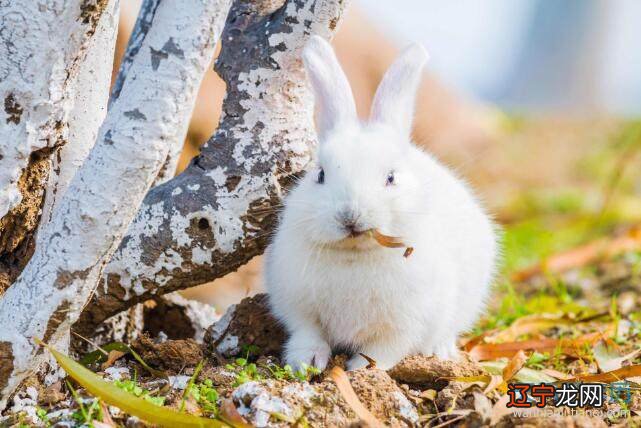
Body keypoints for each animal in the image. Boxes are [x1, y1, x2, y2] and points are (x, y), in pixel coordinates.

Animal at [262, 36, 498, 372]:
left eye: (390, 177)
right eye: (320, 175)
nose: (350, 215)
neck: (354, 256)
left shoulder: (403, 327)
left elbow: (379, 353)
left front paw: (360, 373)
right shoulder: (299, 310)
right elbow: (308, 333)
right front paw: (306, 363)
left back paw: (440, 351)